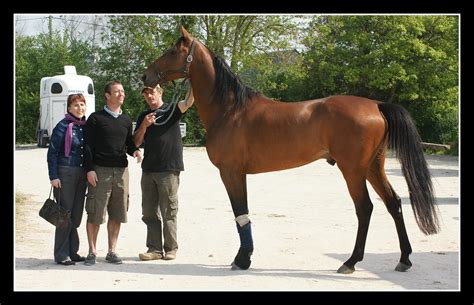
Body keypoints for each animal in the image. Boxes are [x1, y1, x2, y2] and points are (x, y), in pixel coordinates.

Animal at [143, 26, 438, 274]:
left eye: (173, 51)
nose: (146, 75)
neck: (229, 110)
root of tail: (376, 105)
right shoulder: (240, 174)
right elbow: (244, 213)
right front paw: (245, 257)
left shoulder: (230, 172)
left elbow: (240, 213)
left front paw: (242, 259)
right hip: (373, 167)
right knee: (393, 203)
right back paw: (404, 259)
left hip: (353, 170)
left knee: (365, 208)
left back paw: (351, 262)